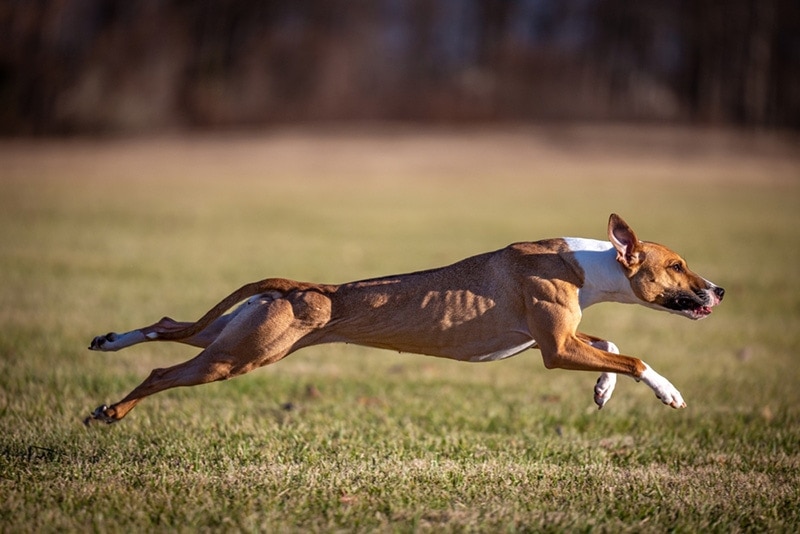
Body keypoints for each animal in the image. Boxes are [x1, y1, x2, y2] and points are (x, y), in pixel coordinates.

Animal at [86, 215, 724, 428]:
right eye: (676, 266)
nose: (718, 289)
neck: (586, 263)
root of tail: (296, 287)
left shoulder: (561, 337)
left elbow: (612, 342)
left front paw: (602, 389)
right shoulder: (554, 348)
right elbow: (634, 354)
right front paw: (667, 391)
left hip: (235, 335)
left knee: (168, 327)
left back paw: (110, 341)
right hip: (240, 356)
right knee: (163, 371)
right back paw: (111, 412)